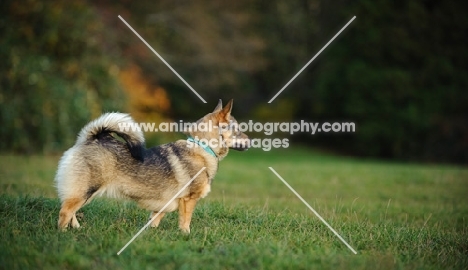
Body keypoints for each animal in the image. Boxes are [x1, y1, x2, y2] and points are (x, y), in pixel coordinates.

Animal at [55, 99, 249, 232]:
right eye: (238, 130)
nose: (251, 141)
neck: (202, 147)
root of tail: (91, 139)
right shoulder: (189, 200)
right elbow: (185, 222)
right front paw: (185, 235)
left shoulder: (163, 205)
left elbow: (154, 221)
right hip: (85, 191)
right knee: (65, 212)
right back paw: (63, 233)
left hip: (84, 193)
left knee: (71, 212)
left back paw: (77, 228)